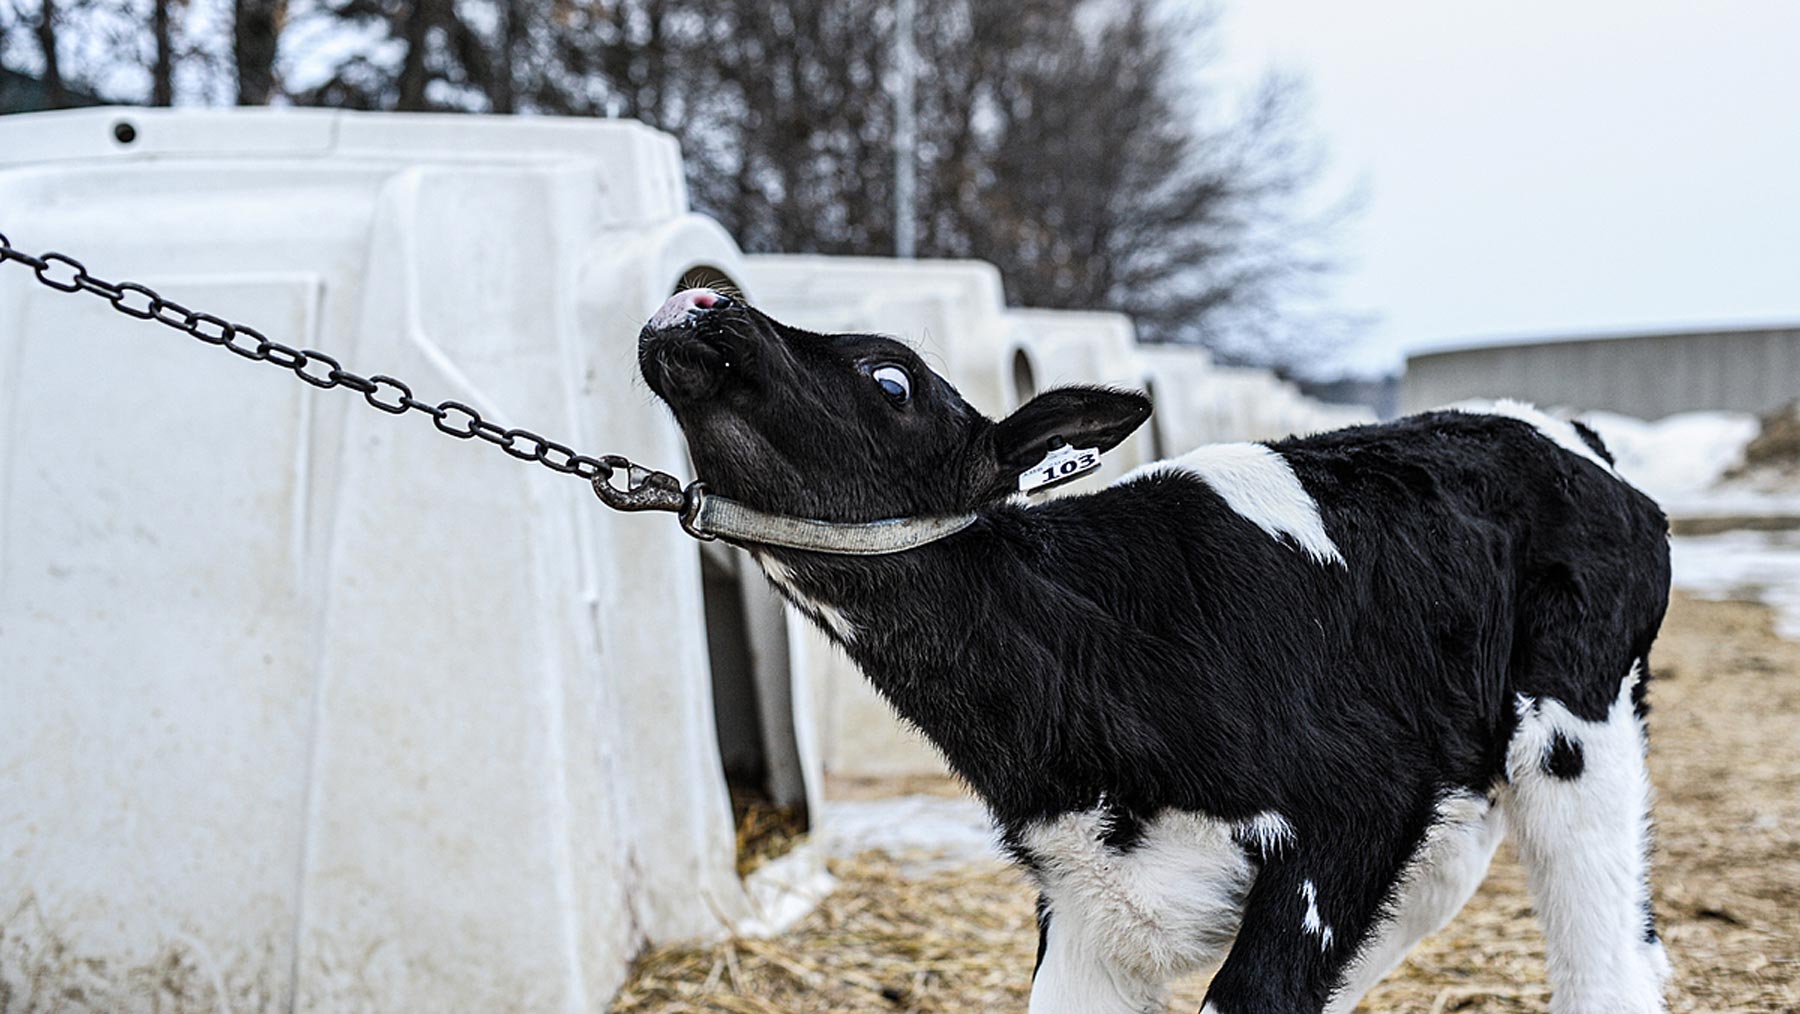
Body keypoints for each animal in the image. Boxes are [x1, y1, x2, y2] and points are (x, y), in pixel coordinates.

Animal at [644, 288, 1670, 1014]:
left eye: (890, 378)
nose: (699, 298)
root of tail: (1556, 428)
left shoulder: (1356, 804)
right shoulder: (1087, 895)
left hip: (1579, 729)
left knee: (1612, 957)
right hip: (1454, 794)